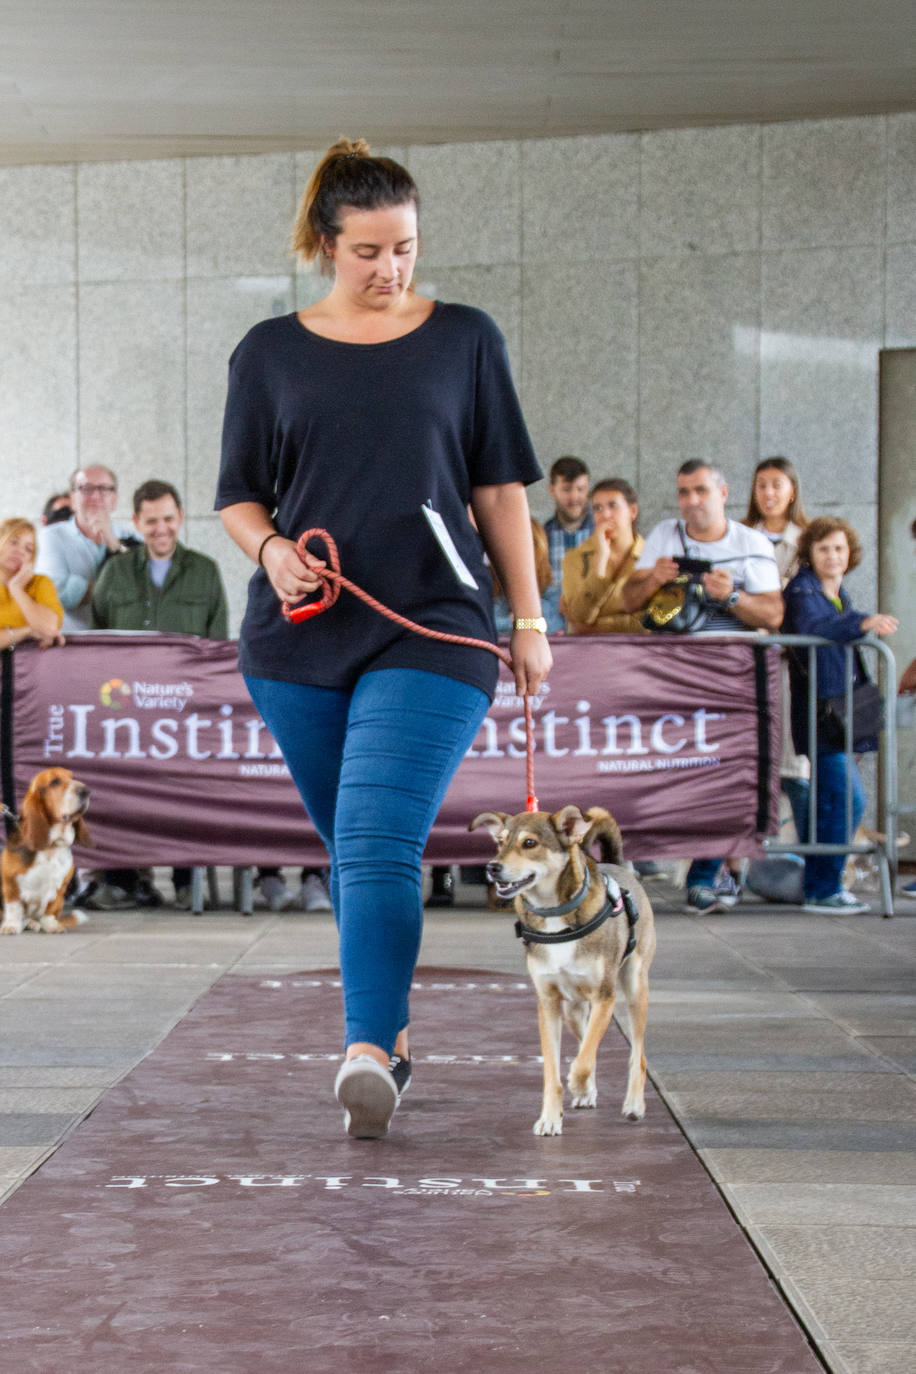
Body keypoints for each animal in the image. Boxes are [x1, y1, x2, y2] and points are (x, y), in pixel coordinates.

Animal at [1, 769, 91, 939]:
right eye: (54, 782)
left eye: (72, 777)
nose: (86, 790)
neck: (51, 846)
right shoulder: (10, 885)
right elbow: (14, 909)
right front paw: (10, 926)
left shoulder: (58, 891)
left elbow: (49, 912)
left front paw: (52, 926)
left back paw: (33, 924)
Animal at [469, 802, 656, 1132]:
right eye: (500, 842)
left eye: (529, 843)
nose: (492, 868)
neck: (554, 914)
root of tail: (618, 866)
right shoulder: (549, 1004)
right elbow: (554, 1070)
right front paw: (550, 1118)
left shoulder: (604, 998)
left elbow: (583, 1060)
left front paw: (578, 1084)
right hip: (571, 1010)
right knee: (586, 1042)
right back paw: (588, 1093)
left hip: (635, 988)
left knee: (636, 1054)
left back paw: (633, 1103)